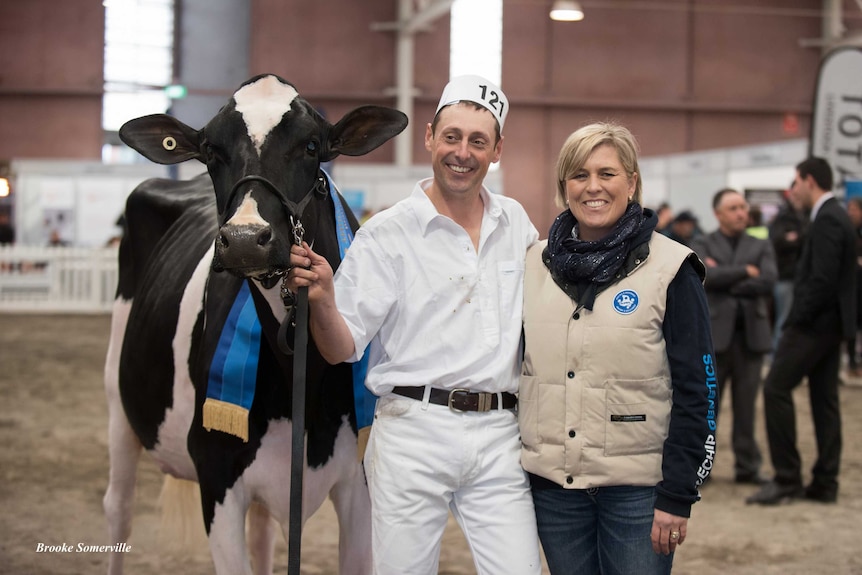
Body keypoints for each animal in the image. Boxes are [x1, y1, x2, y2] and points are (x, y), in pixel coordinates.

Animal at [104, 74, 408, 572]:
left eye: (311, 146)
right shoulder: (217, 473)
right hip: (117, 399)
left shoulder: (360, 481)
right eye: (210, 149)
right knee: (119, 510)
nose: (246, 239)